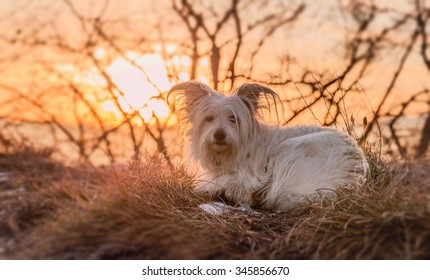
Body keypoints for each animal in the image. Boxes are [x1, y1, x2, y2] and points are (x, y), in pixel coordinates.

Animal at [170, 80, 368, 208]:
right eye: (209, 118)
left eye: (233, 119)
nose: (219, 134)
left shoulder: (252, 177)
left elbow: (236, 185)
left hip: (291, 149)